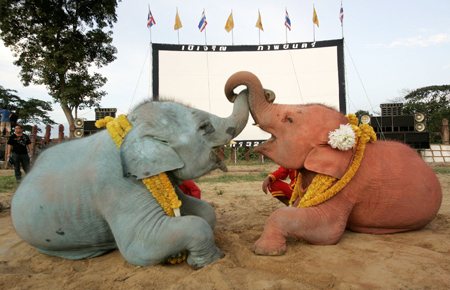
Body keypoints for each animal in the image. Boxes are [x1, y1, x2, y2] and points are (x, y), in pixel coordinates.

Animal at [11, 90, 250, 270]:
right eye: (203, 127)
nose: (240, 89)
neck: (132, 126)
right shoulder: (118, 187)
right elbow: (140, 247)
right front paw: (212, 260)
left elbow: (205, 212)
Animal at [223, 71, 442, 255]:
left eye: (289, 119)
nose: (269, 93)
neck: (350, 146)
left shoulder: (346, 189)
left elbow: (327, 231)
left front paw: (265, 250)